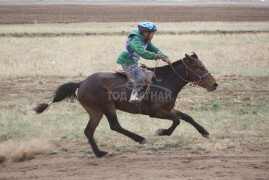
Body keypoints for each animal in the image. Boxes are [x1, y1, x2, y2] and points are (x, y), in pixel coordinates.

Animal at [34, 53, 218, 158]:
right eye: (200, 67)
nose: (215, 84)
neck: (165, 80)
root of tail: (82, 83)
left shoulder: (168, 109)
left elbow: (187, 117)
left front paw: (205, 132)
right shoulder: (156, 112)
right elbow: (177, 121)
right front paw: (162, 132)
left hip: (95, 111)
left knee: (89, 131)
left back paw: (99, 153)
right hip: (107, 106)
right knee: (115, 125)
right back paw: (140, 139)